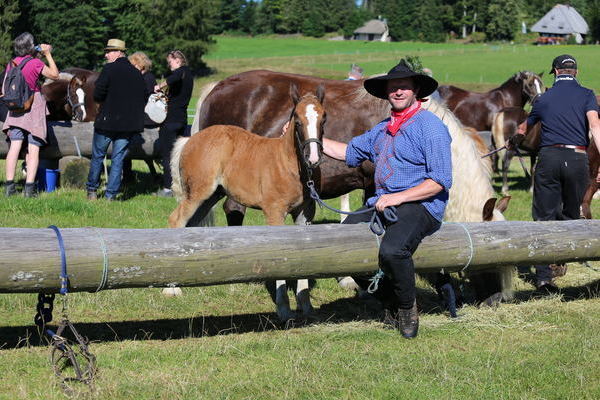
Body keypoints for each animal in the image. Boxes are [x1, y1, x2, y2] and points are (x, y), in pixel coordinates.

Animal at [169, 85, 326, 322]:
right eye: (297, 120)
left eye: (323, 118)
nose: (313, 158)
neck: (289, 164)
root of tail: (190, 139)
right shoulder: (274, 212)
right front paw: (283, 309)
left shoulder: (305, 213)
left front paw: (306, 306)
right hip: (197, 193)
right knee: (176, 220)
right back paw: (172, 289)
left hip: (210, 196)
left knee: (192, 226)